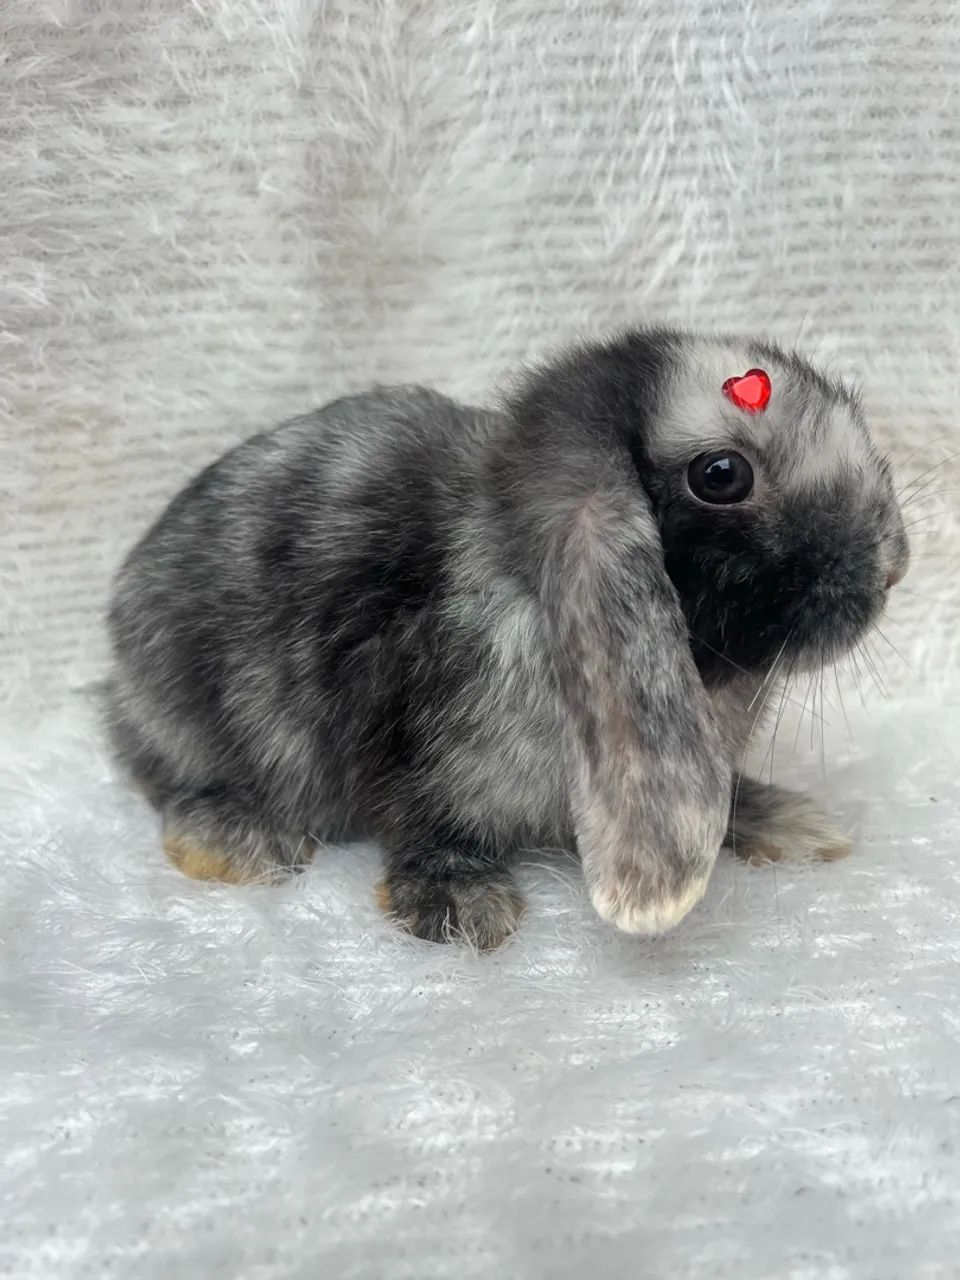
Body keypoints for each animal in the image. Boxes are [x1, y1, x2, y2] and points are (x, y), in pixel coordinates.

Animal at [105, 328, 909, 949]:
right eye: (721, 474)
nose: (894, 564)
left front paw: (794, 823)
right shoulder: (416, 748)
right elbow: (425, 822)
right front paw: (462, 909)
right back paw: (240, 843)